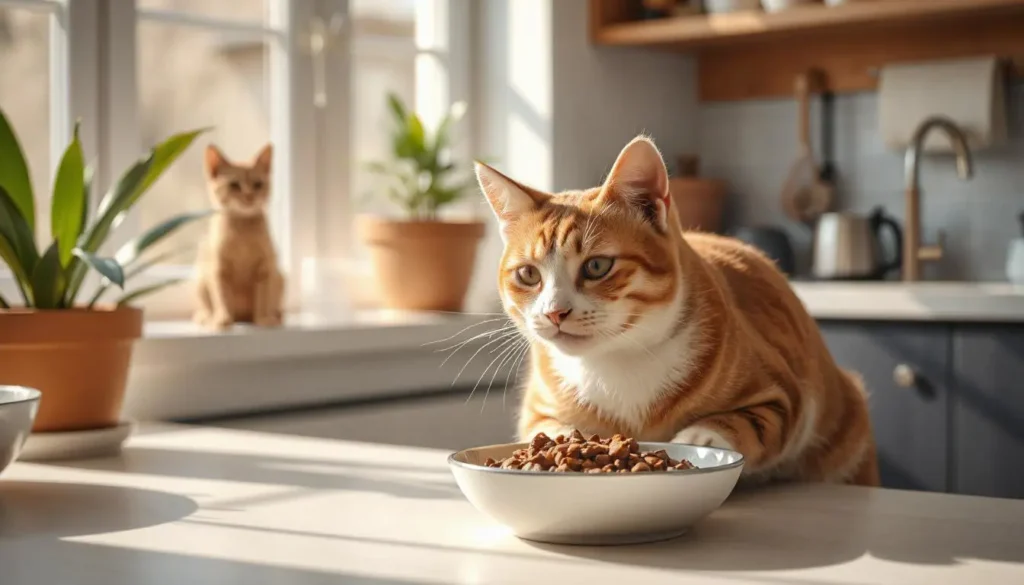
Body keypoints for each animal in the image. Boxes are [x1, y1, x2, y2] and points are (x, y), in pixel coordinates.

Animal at [193, 143, 284, 329]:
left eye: (258, 184)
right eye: (234, 185)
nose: (249, 196)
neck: (242, 232)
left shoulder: (266, 268)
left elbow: (263, 298)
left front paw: (264, 319)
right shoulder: (218, 270)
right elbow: (222, 297)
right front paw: (222, 319)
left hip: (280, 277)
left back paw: (276, 316)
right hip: (200, 281)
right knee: (204, 305)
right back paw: (205, 316)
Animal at [477, 136, 880, 485]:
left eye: (597, 266)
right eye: (528, 274)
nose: (555, 313)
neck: (617, 361)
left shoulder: (784, 395)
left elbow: (748, 421)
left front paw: (700, 440)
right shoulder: (537, 411)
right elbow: (548, 429)